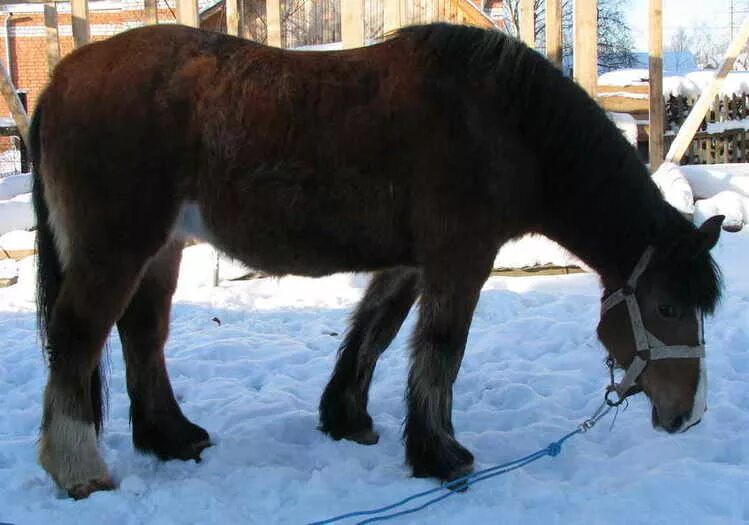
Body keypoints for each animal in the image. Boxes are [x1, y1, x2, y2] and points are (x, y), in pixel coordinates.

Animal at [32, 23, 720, 500]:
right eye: (666, 307)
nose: (687, 416)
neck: (502, 124)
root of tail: (63, 77)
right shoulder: (459, 260)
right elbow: (441, 350)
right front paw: (440, 456)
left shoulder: (410, 263)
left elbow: (375, 332)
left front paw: (347, 418)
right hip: (116, 248)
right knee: (78, 338)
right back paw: (79, 470)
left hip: (161, 250)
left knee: (142, 336)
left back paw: (172, 437)